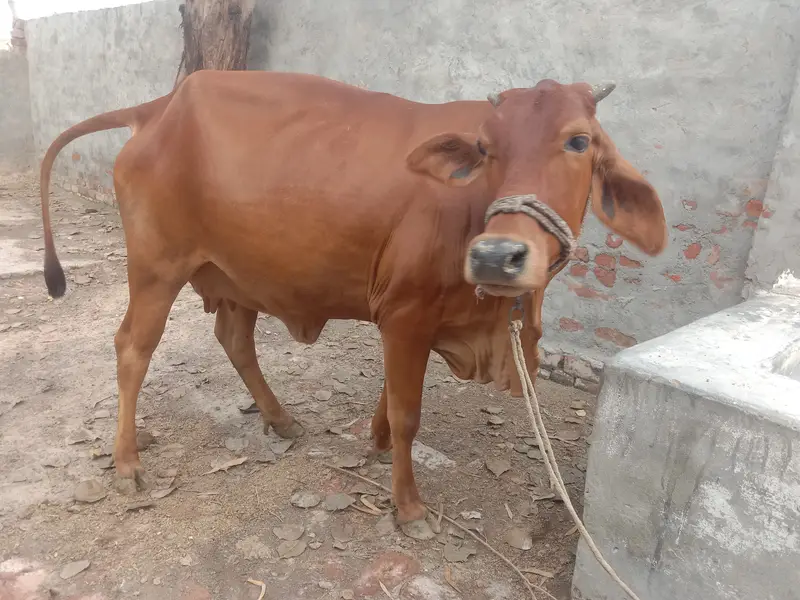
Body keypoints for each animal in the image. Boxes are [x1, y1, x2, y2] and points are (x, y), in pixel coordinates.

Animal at [39, 72, 667, 538]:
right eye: (487, 148)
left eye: (579, 141)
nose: (497, 257)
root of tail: (159, 108)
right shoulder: (406, 316)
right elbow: (409, 412)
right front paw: (408, 505)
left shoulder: (410, 319)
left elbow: (391, 397)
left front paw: (378, 441)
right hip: (155, 269)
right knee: (132, 349)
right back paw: (127, 463)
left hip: (238, 273)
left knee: (234, 341)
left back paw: (280, 419)